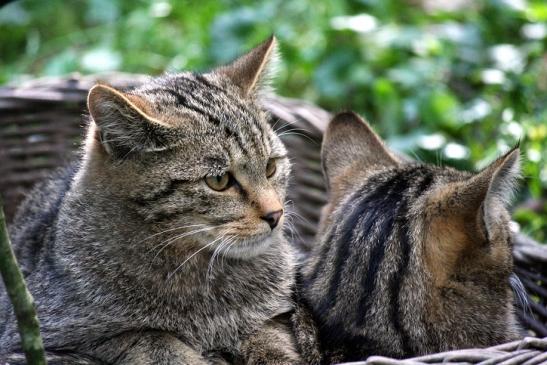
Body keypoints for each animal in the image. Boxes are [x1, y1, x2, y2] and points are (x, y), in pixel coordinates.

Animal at [0, 35, 302, 362]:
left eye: (270, 167)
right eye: (219, 181)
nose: (276, 214)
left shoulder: (275, 315)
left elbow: (270, 337)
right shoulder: (45, 336)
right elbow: (153, 339)